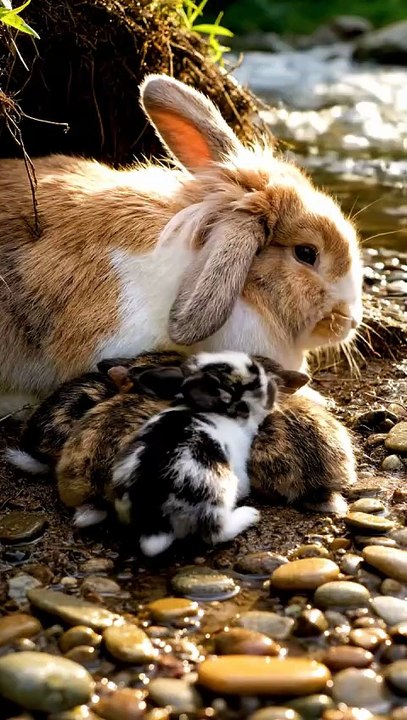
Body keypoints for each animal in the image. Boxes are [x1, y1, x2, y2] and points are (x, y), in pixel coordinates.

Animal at [110, 351, 309, 556]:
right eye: (254, 384)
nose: (273, 386)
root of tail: (154, 520)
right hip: (219, 494)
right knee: (217, 532)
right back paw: (250, 514)